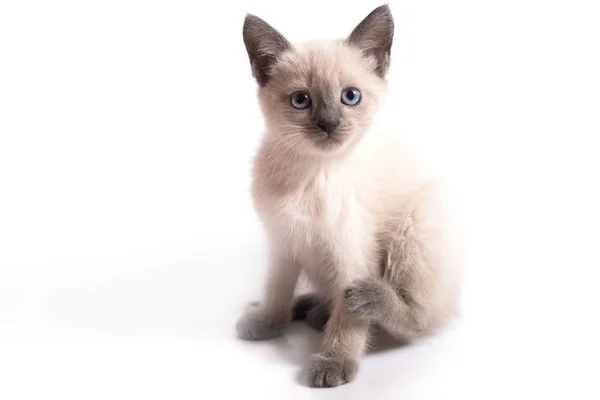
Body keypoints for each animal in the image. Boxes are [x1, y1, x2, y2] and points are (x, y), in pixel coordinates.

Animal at [237, 5, 462, 388]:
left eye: (350, 96)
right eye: (301, 100)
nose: (328, 124)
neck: (312, 174)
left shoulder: (350, 254)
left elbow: (349, 323)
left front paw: (334, 361)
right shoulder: (284, 241)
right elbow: (276, 287)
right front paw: (269, 320)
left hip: (416, 224)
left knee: (418, 321)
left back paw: (365, 299)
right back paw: (311, 308)